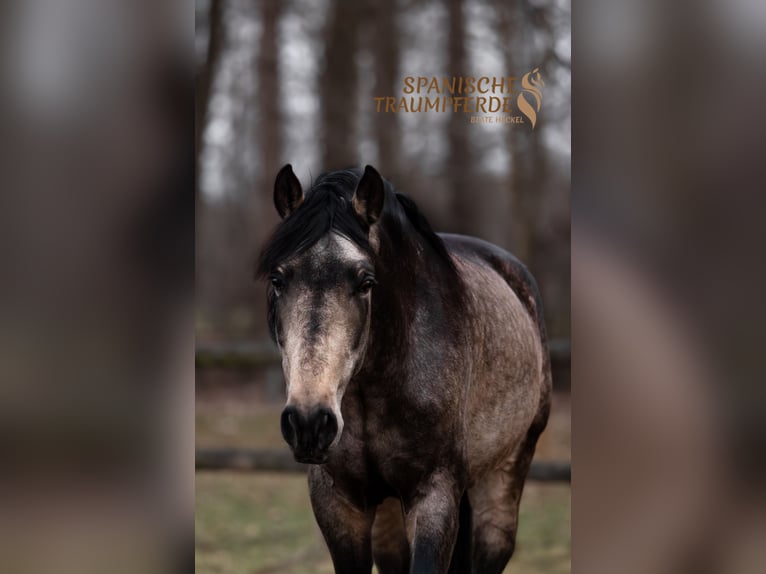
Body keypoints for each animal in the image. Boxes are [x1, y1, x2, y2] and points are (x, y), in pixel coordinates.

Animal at [256, 164, 551, 574]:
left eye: (366, 282)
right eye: (277, 279)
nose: (309, 423)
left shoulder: (434, 496)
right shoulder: (338, 503)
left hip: (503, 480)